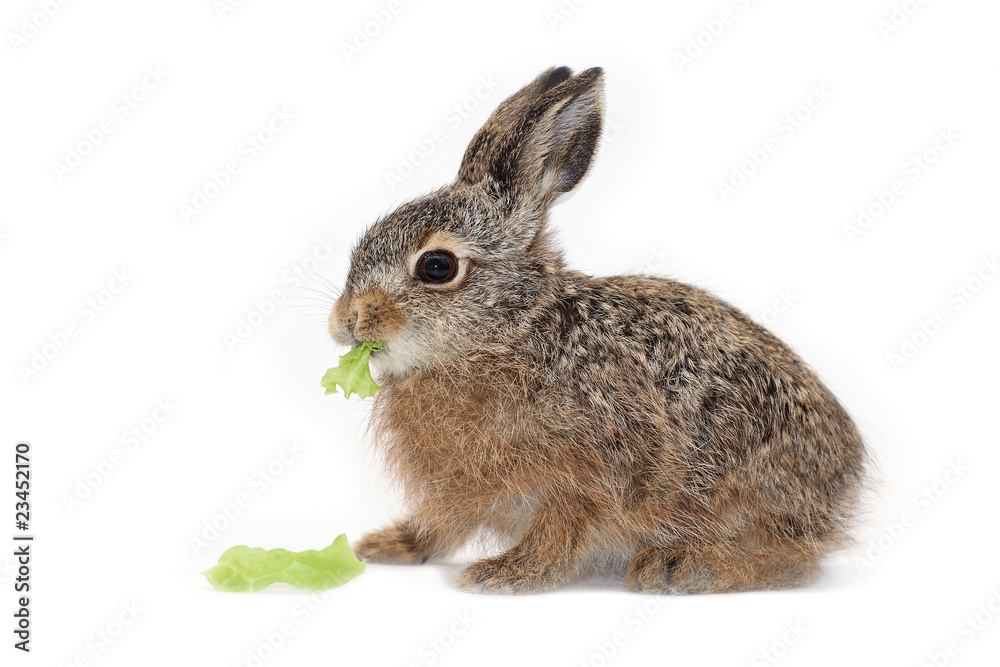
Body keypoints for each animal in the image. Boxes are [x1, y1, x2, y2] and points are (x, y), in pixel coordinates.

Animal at [328, 66, 867, 594]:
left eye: (436, 267)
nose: (348, 320)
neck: (512, 330)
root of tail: (845, 471)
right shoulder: (461, 490)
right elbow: (440, 527)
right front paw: (388, 546)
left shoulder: (589, 474)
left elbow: (559, 531)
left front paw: (504, 574)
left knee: (794, 562)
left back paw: (682, 567)